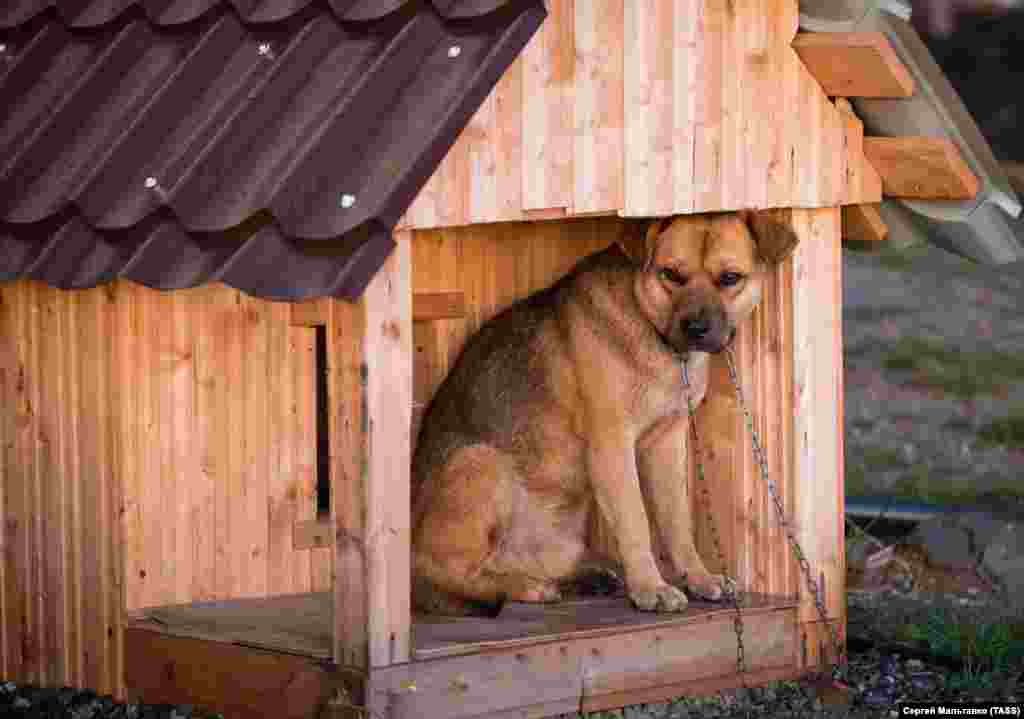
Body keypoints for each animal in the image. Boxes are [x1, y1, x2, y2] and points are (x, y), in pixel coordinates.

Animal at [411, 210, 794, 618]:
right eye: (671, 274)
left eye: (730, 278)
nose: (695, 328)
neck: (655, 334)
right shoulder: (612, 444)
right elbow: (635, 520)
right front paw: (651, 588)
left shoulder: (667, 442)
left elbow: (676, 521)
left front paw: (699, 577)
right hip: (480, 461)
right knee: (449, 574)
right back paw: (527, 587)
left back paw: (582, 576)